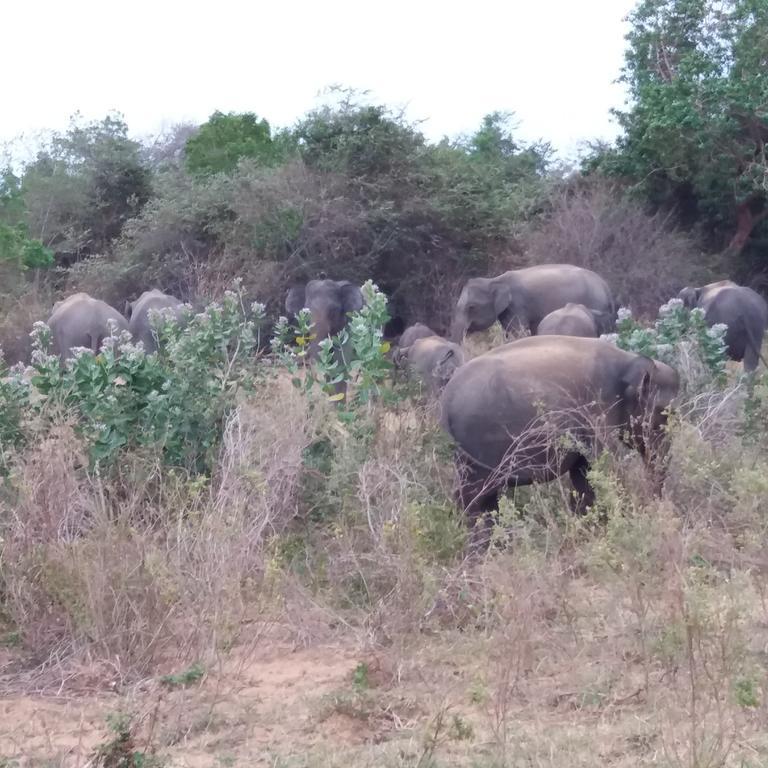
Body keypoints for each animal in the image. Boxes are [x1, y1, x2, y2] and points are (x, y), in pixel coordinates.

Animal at [438, 336, 680, 552]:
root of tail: (445, 400)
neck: (628, 360)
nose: (658, 509)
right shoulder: (598, 411)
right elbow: (607, 466)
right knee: (472, 498)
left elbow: (583, 474)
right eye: (664, 414)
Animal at [452, 268, 616, 342]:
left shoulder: (517, 305)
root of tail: (605, 285)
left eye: (471, 307)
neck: (494, 280)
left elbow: (518, 333)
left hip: (596, 302)